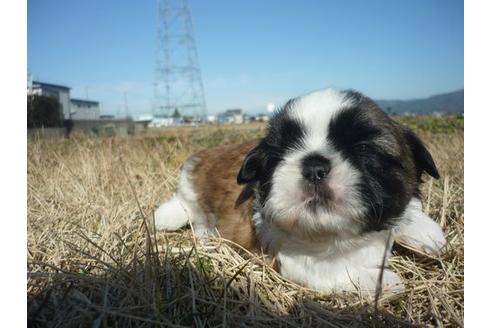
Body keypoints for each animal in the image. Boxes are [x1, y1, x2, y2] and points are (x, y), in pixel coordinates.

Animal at [154, 88, 446, 294]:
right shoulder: (295, 261)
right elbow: (341, 273)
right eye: (280, 154)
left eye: (363, 148)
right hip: (188, 194)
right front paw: (384, 282)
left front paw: (426, 232)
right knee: (182, 207)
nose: (314, 166)